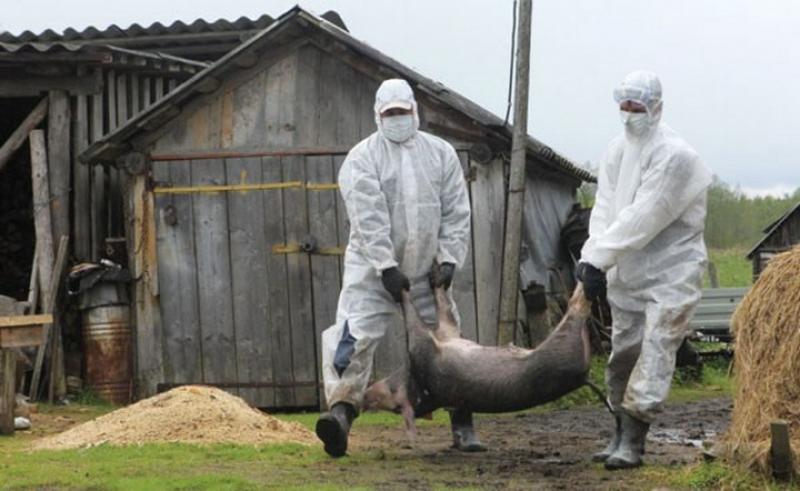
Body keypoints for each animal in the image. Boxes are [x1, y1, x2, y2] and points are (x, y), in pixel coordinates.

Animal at [362, 282, 592, 436]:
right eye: (394, 405)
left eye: (385, 397)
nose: (364, 398)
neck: (419, 383)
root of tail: (583, 377)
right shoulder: (426, 349)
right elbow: (417, 323)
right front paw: (400, 284)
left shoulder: (448, 337)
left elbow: (445, 314)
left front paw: (437, 275)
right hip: (562, 344)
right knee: (577, 307)